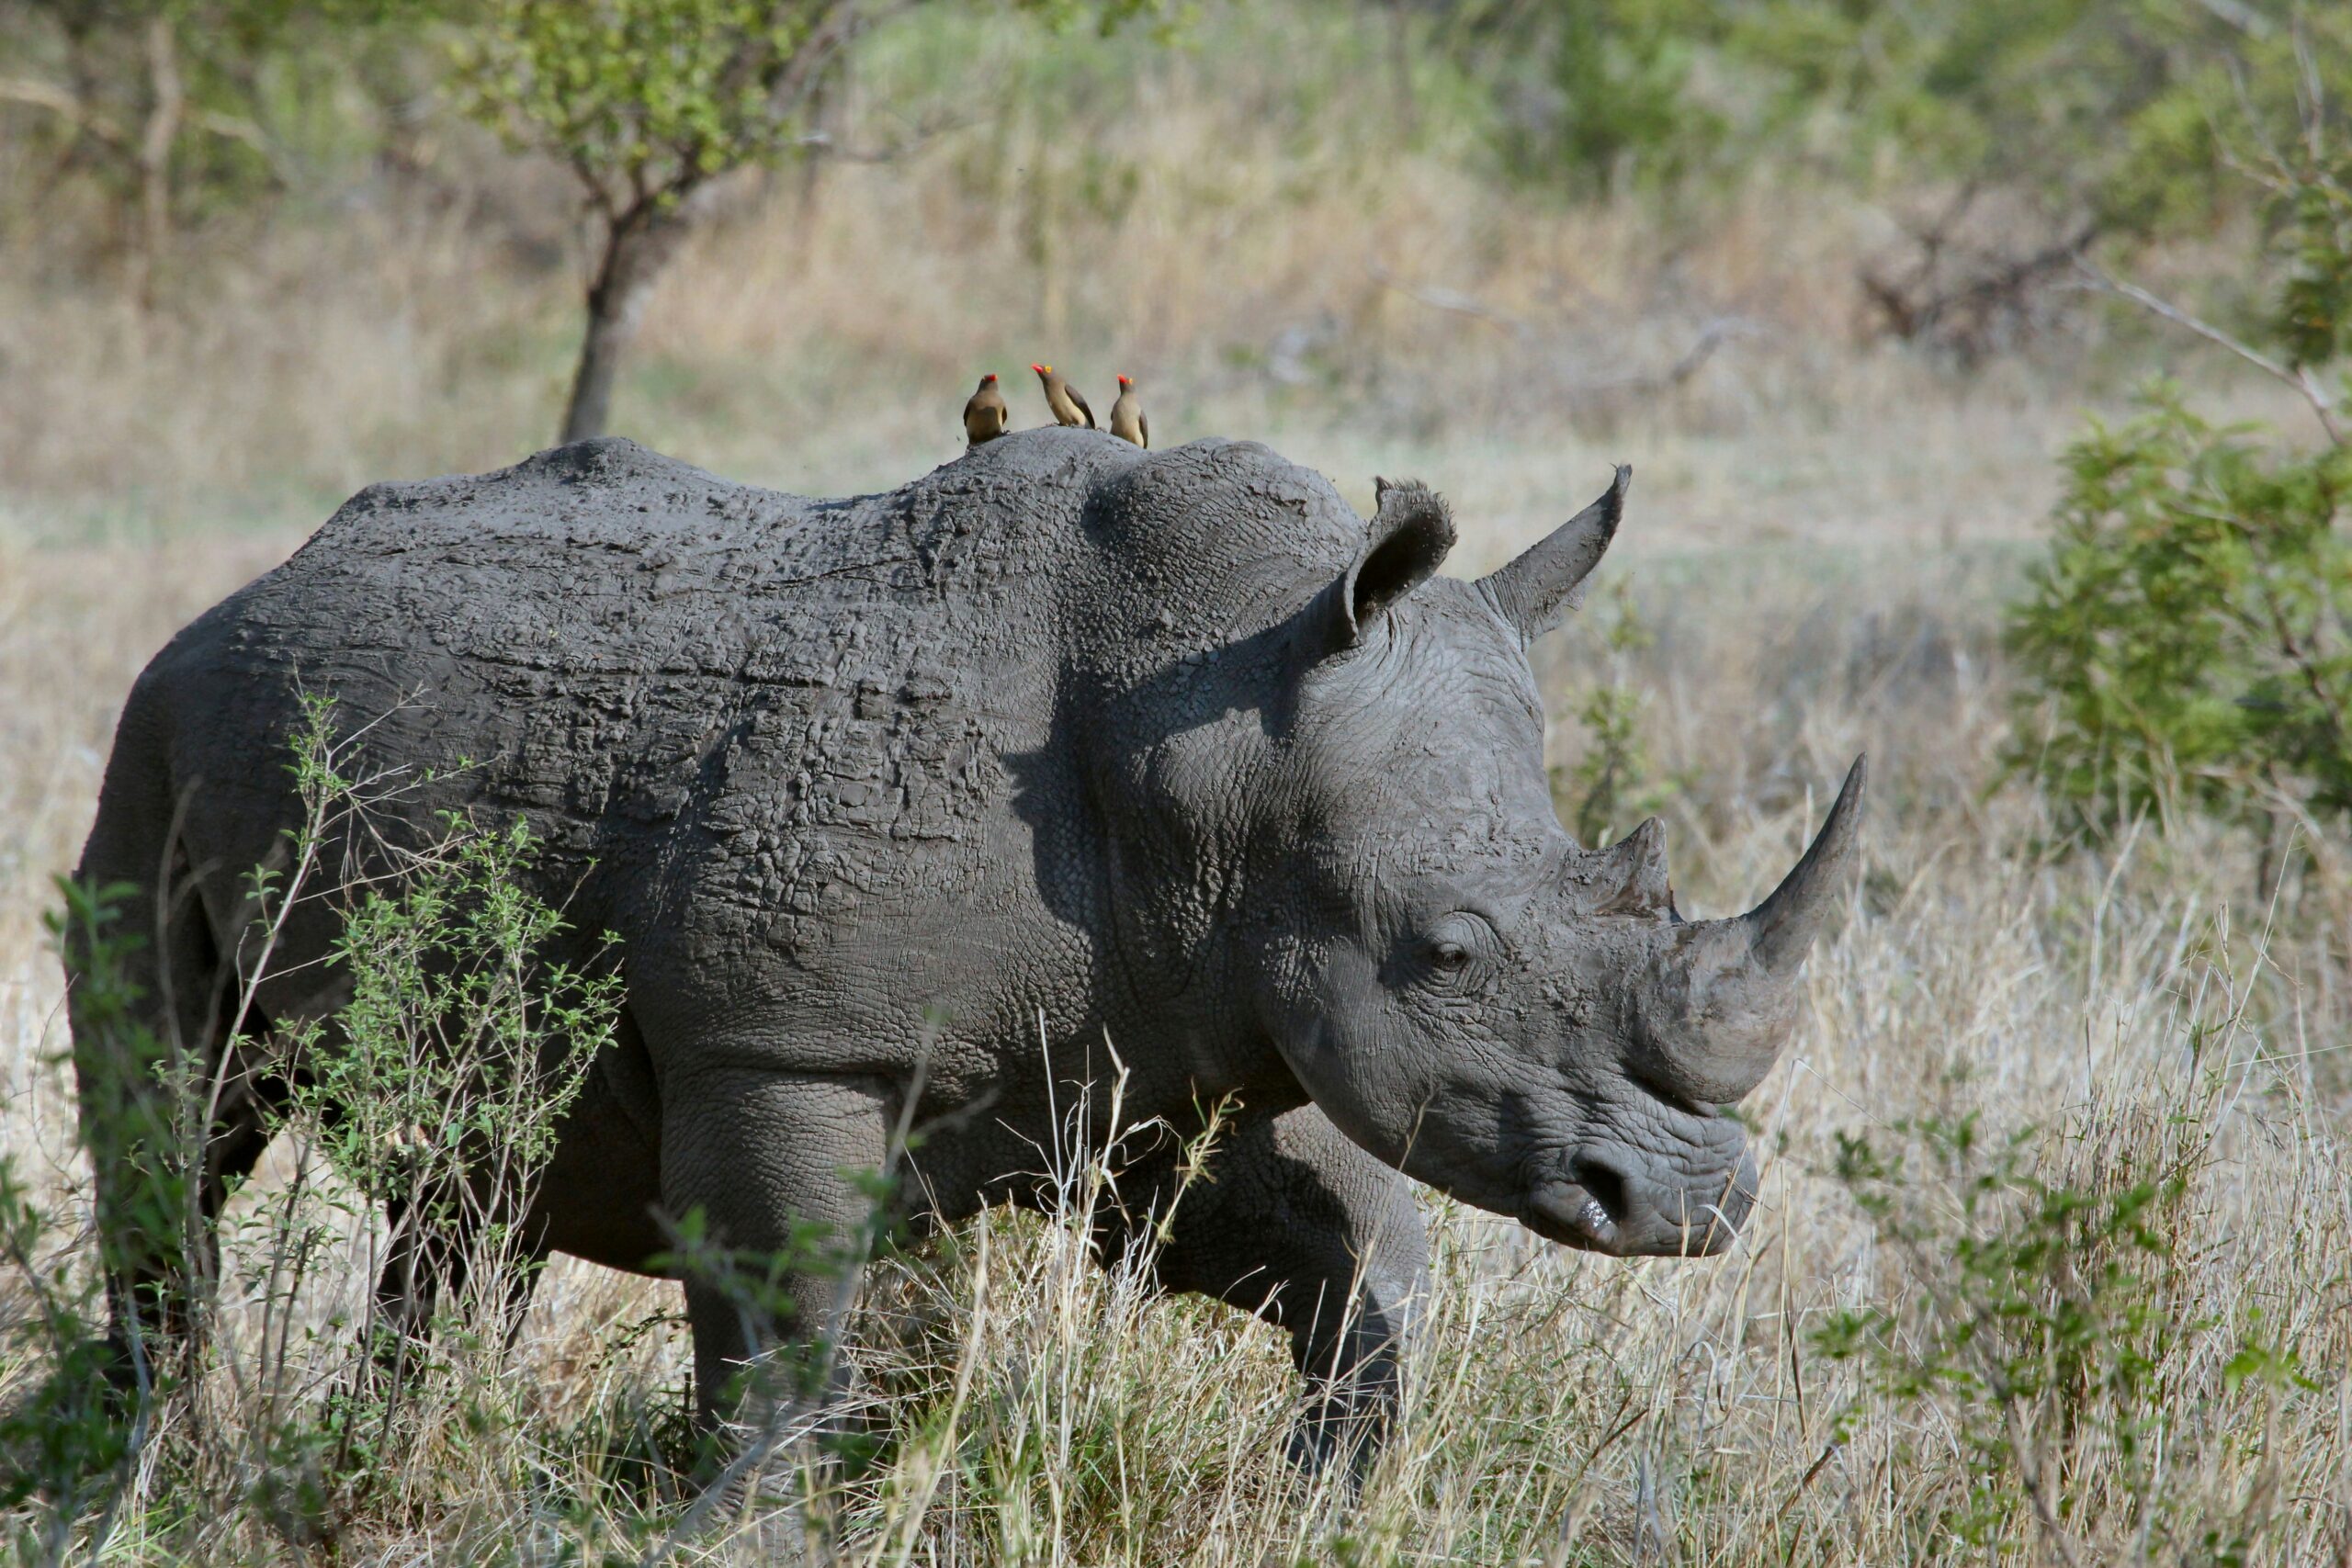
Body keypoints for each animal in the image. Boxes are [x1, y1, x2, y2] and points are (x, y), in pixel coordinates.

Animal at [71, 428, 1861, 1468]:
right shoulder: (786, 1044)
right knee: (177, 1119)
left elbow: (1355, 1261)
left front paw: (1323, 1490)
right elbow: (785, 1325)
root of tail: (257, 582)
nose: (1695, 1205)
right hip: (152, 727)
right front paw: (745, 1520)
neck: (1215, 743)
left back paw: (370, 1464)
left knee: (473, 1183)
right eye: (1447, 949)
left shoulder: (1162, 1036)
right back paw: (144, 1471)